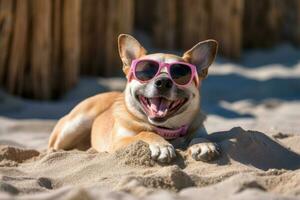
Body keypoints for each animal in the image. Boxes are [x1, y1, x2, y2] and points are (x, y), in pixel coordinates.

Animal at [48, 33, 219, 163]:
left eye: (181, 74)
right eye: (145, 71)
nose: (163, 82)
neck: (165, 130)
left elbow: (199, 137)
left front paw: (203, 144)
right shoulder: (119, 143)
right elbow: (144, 134)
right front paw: (160, 145)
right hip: (75, 124)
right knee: (52, 147)